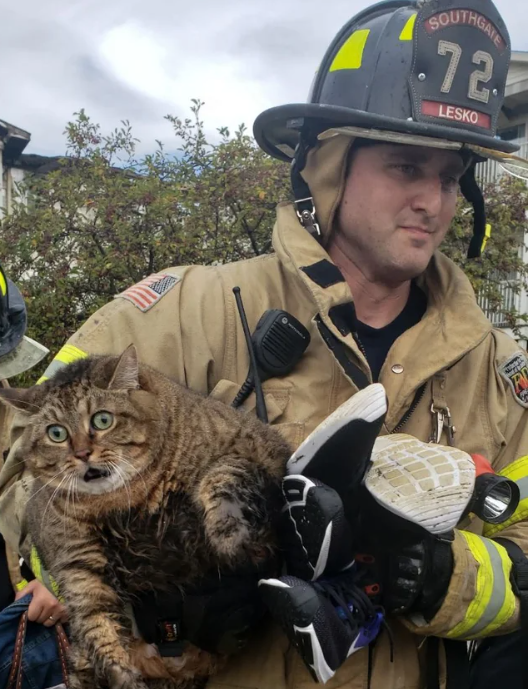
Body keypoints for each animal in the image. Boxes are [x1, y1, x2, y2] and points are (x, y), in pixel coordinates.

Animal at [0, 346, 290, 684]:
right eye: (56, 433)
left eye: (102, 420)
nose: (82, 454)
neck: (124, 500)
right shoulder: (76, 563)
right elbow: (95, 623)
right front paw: (119, 671)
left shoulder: (258, 447)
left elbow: (222, 473)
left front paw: (227, 531)